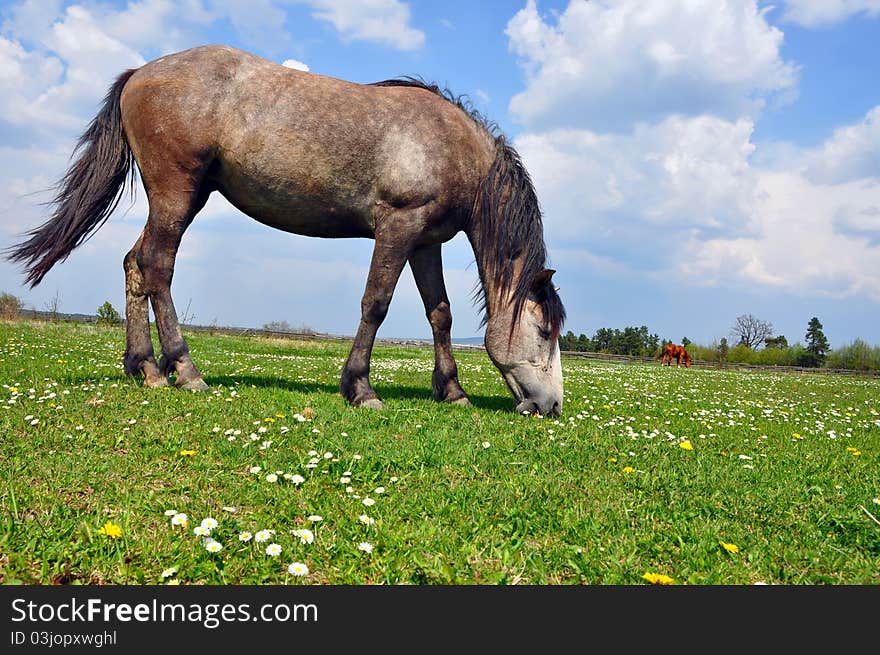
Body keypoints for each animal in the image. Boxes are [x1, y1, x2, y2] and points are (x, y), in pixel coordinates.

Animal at [6, 43, 568, 418]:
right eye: (544, 331)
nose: (552, 407)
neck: (449, 144)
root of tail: (141, 72)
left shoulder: (424, 242)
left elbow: (441, 314)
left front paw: (451, 391)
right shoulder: (397, 227)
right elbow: (376, 304)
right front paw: (360, 388)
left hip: (185, 197)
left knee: (134, 264)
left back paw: (145, 367)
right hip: (176, 193)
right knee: (157, 267)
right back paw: (184, 371)